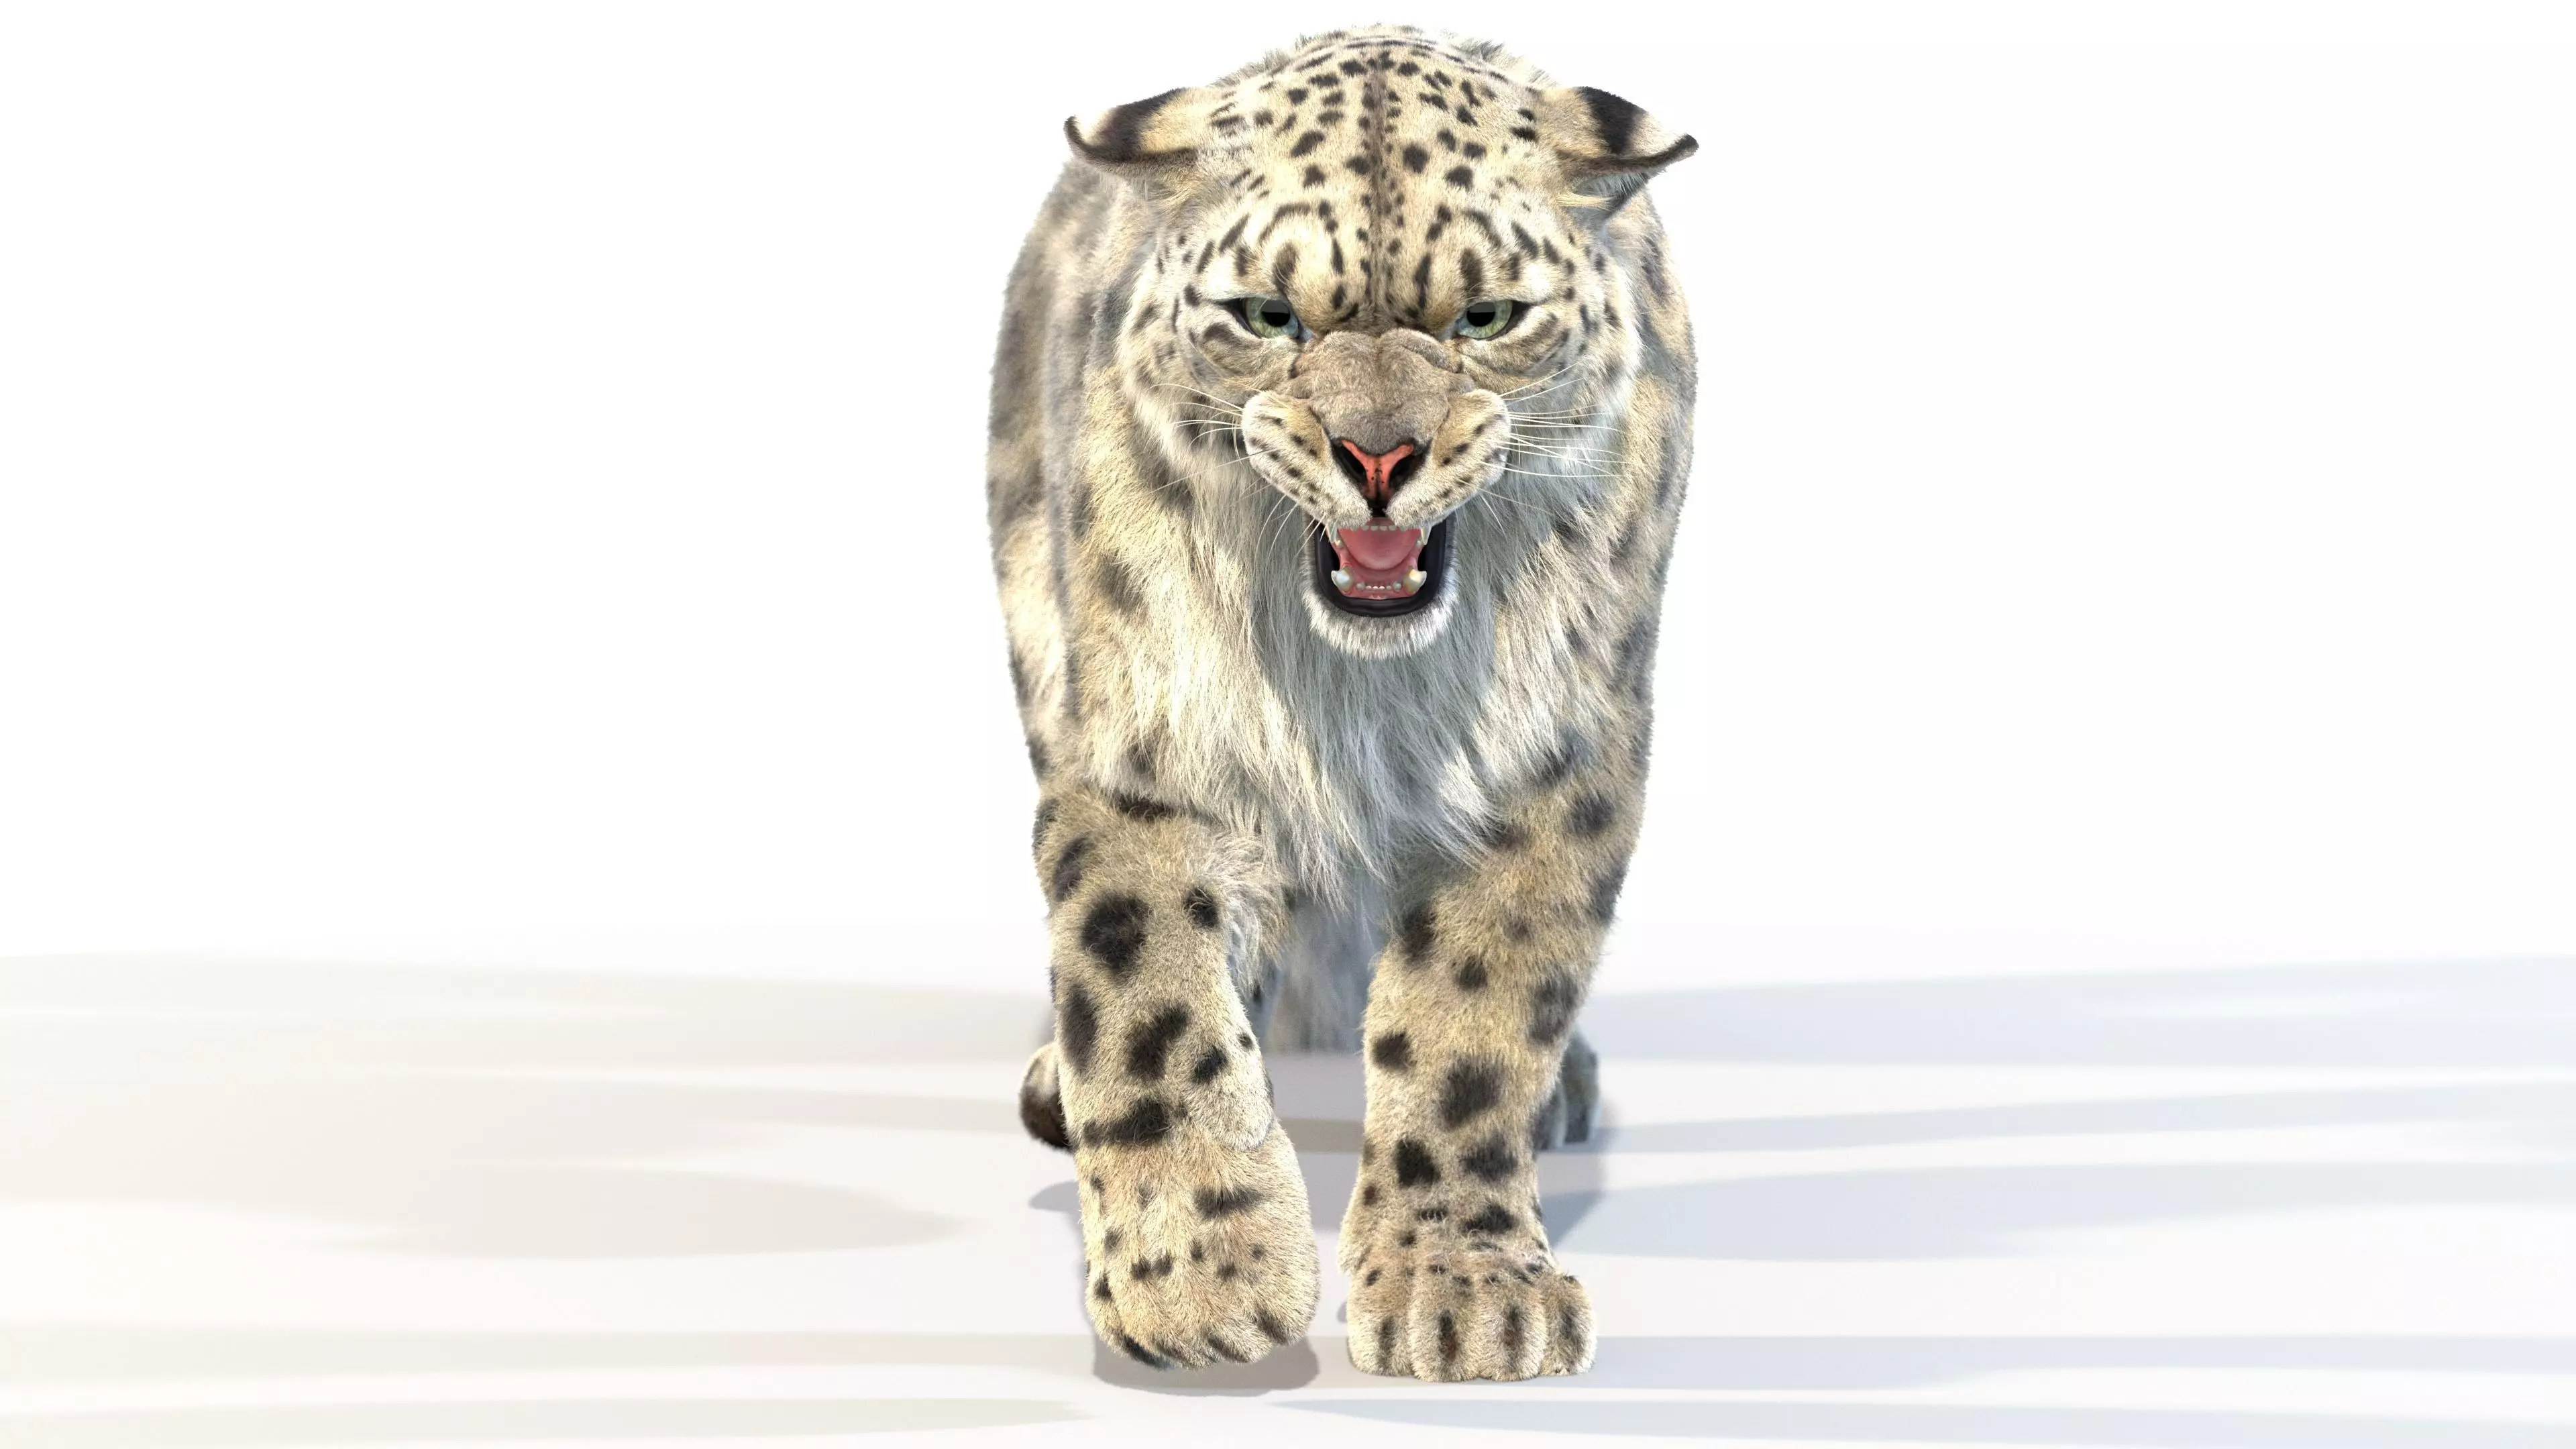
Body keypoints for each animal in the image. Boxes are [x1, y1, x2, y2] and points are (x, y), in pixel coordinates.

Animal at [987, 25, 1695, 1382]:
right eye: (1268, 316)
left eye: (1487, 316)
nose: (1377, 458)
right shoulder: (1147, 751)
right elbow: (1149, 997)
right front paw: (1199, 1281)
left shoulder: (1553, 761)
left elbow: (1474, 1021)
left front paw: (1463, 1293)